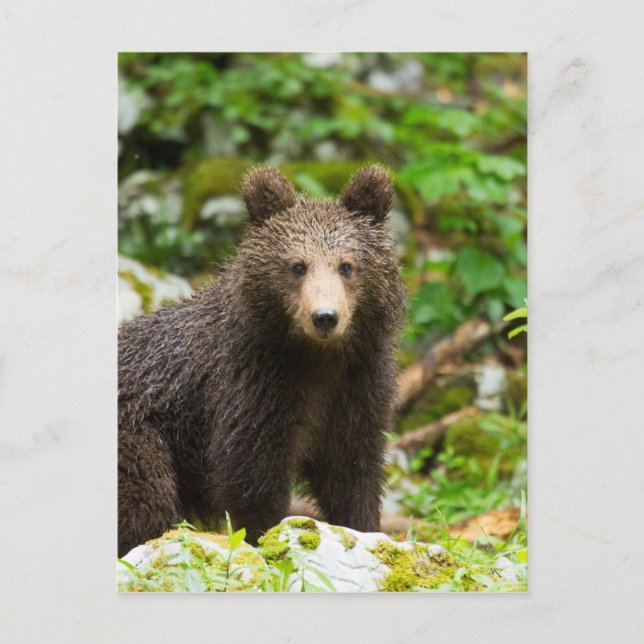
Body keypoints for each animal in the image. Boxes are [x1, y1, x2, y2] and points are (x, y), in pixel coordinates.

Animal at [117, 164, 407, 556]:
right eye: (297, 266)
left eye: (346, 266)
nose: (325, 317)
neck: (315, 359)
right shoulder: (251, 387)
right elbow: (251, 478)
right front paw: (265, 539)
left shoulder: (357, 387)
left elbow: (352, 472)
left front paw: (365, 528)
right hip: (138, 441)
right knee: (145, 503)